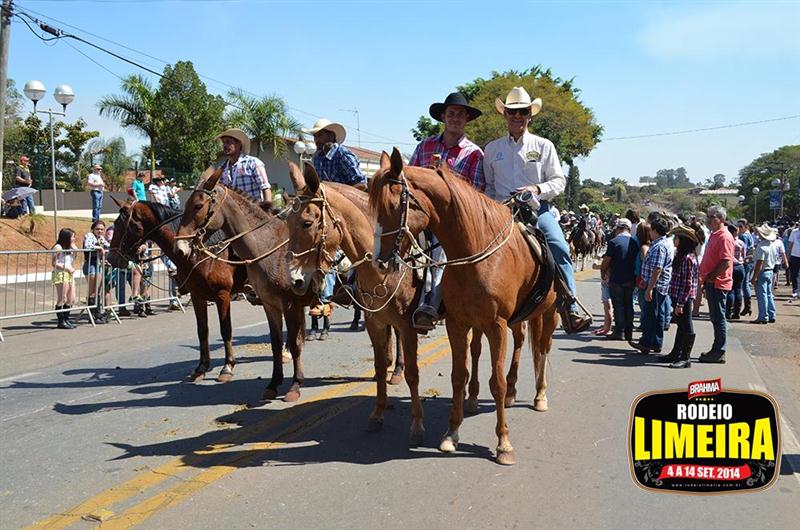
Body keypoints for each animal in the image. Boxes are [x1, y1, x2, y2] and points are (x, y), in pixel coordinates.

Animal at [107, 198, 248, 382]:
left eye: (120, 224)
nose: (110, 258)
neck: (202, 253)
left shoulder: (222, 295)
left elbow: (226, 330)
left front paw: (227, 367)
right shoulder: (197, 296)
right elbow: (202, 330)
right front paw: (201, 367)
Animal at [174, 172, 315, 402]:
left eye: (198, 205)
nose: (180, 248)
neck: (269, 248)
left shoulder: (290, 305)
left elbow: (294, 344)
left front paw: (295, 386)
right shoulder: (270, 304)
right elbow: (276, 343)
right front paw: (273, 384)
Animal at [369, 149, 559, 466]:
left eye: (394, 204)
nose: (379, 261)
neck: (476, 255)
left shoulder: (496, 326)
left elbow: (496, 382)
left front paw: (503, 444)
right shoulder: (458, 324)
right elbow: (459, 376)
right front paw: (451, 434)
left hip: (549, 312)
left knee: (542, 348)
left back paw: (540, 396)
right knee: (521, 342)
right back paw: (514, 391)